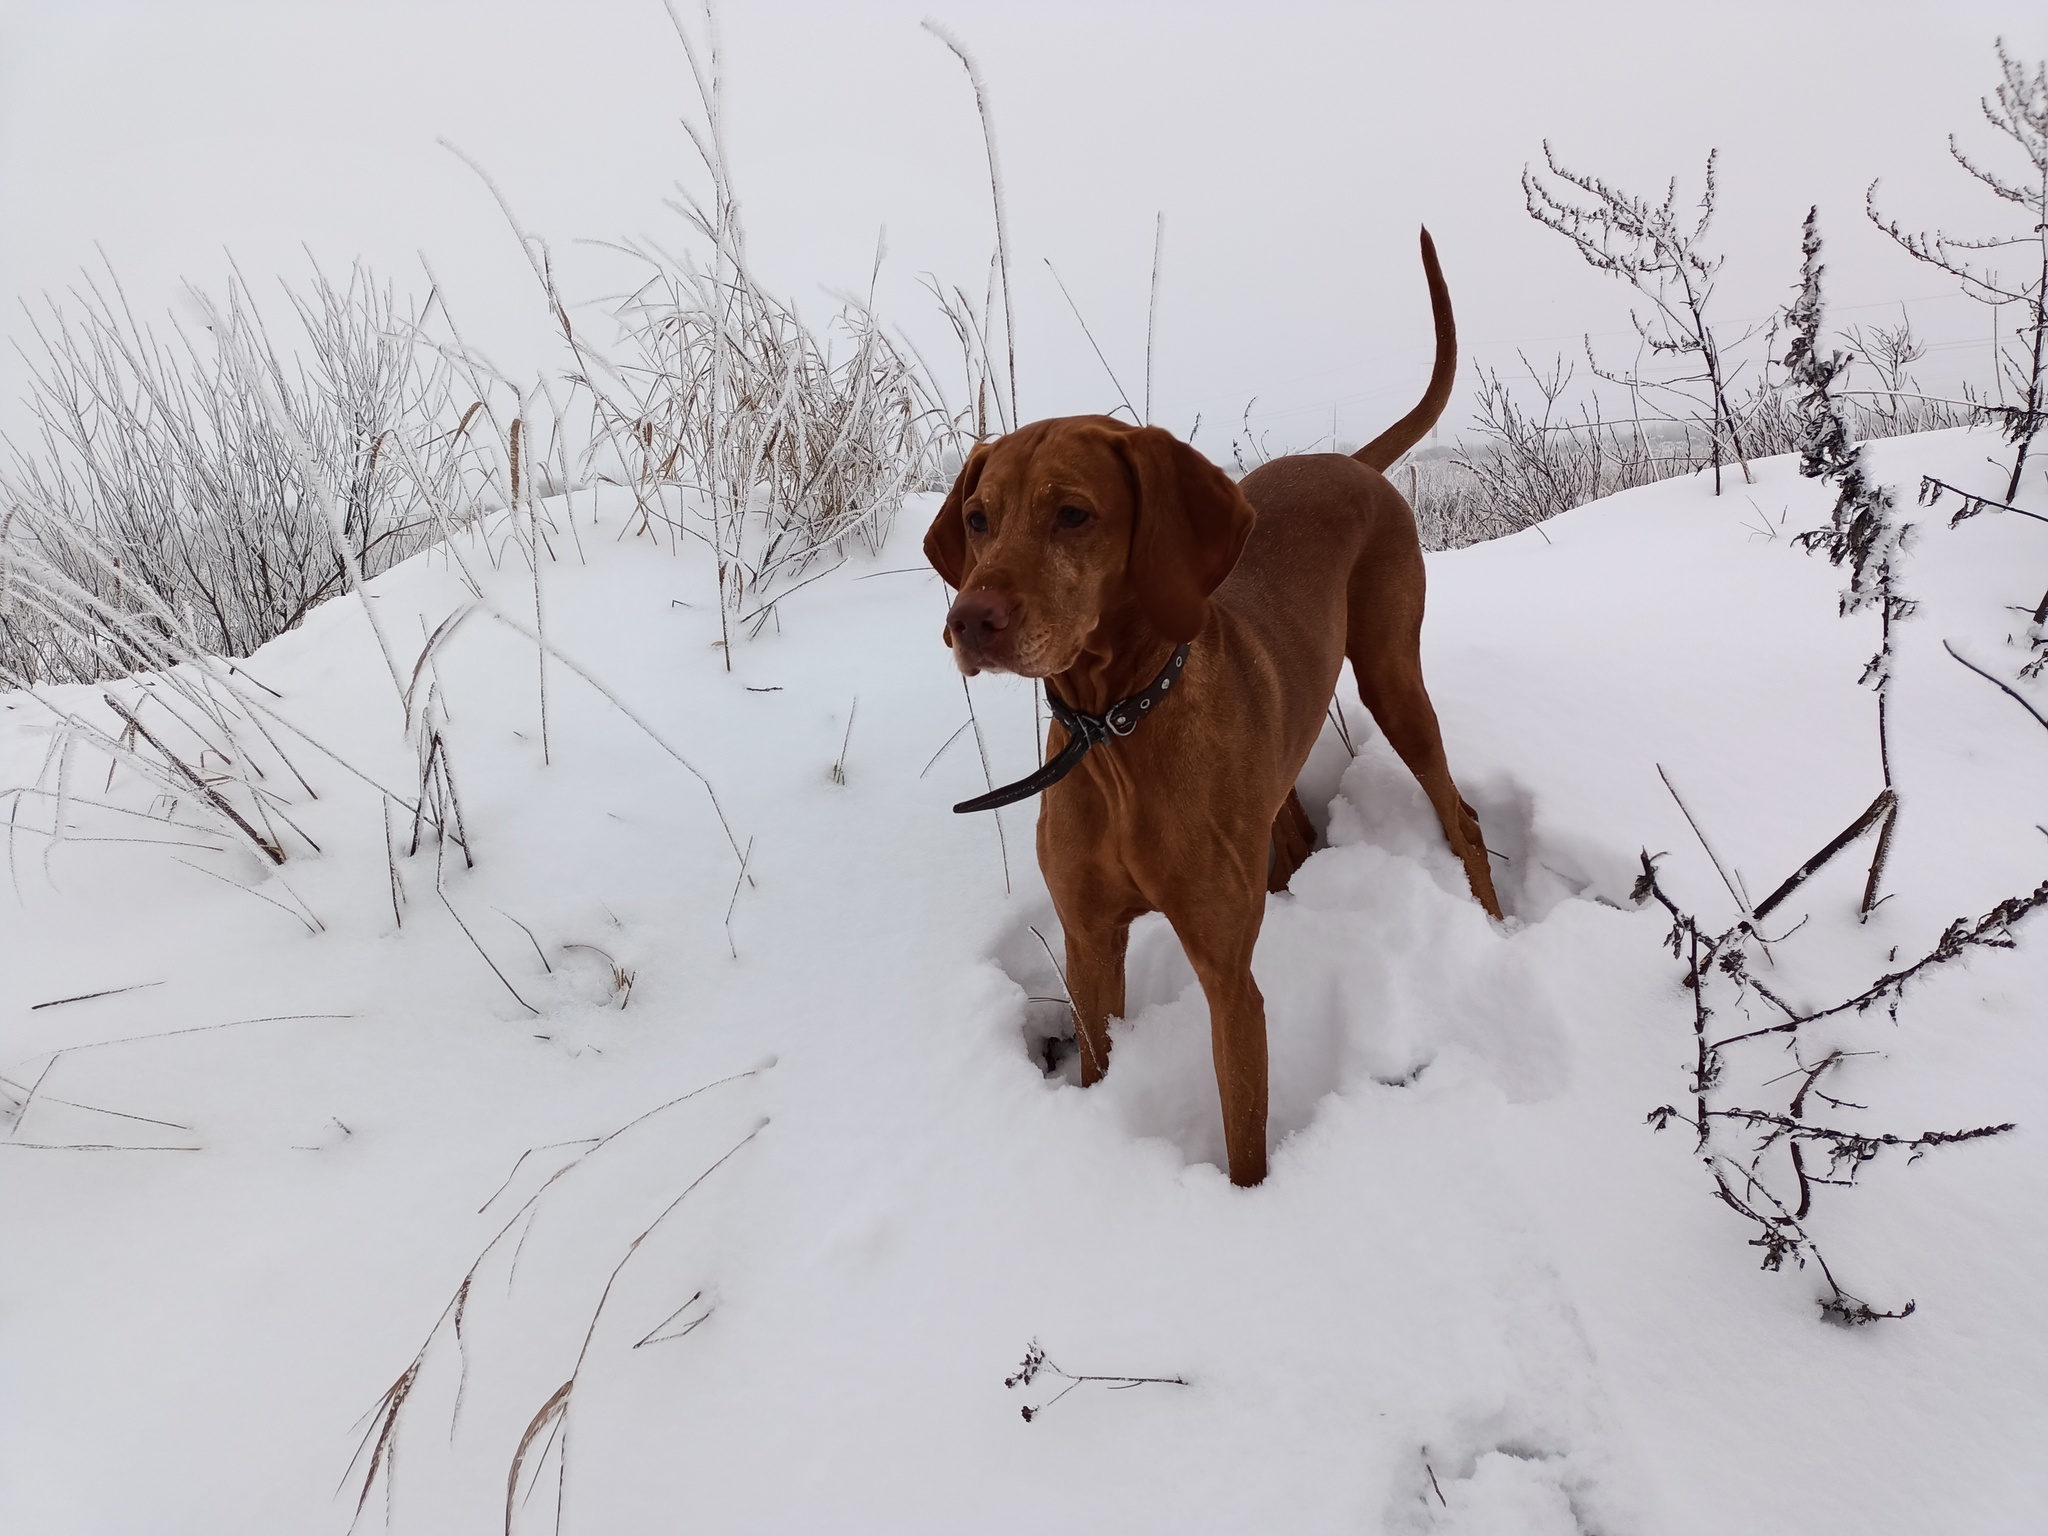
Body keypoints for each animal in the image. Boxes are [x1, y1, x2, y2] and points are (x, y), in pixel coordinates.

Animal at [921, 231, 1499, 1187]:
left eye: (1073, 514)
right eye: (976, 518)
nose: (969, 621)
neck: (1117, 729)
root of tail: (1350, 461)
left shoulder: (1227, 976)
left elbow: (1244, 1136)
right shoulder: (1088, 943)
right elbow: (1098, 1055)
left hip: (1393, 679)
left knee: (1462, 813)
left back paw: (1494, 922)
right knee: (1293, 831)